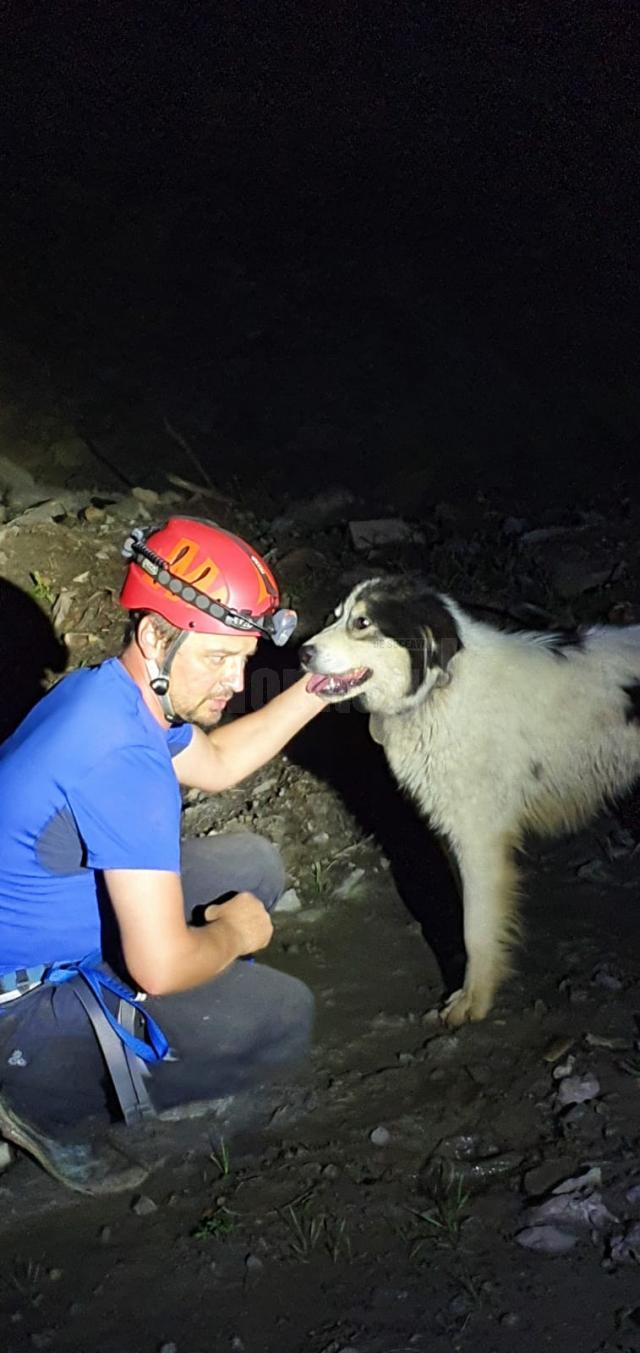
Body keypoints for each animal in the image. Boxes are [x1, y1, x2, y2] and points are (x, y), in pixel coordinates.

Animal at [299, 579, 638, 1022]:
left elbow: (474, 929)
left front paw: (473, 1001)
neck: (440, 688)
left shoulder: (479, 838)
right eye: (336, 616)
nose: (302, 654)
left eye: (363, 623)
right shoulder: (455, 834)